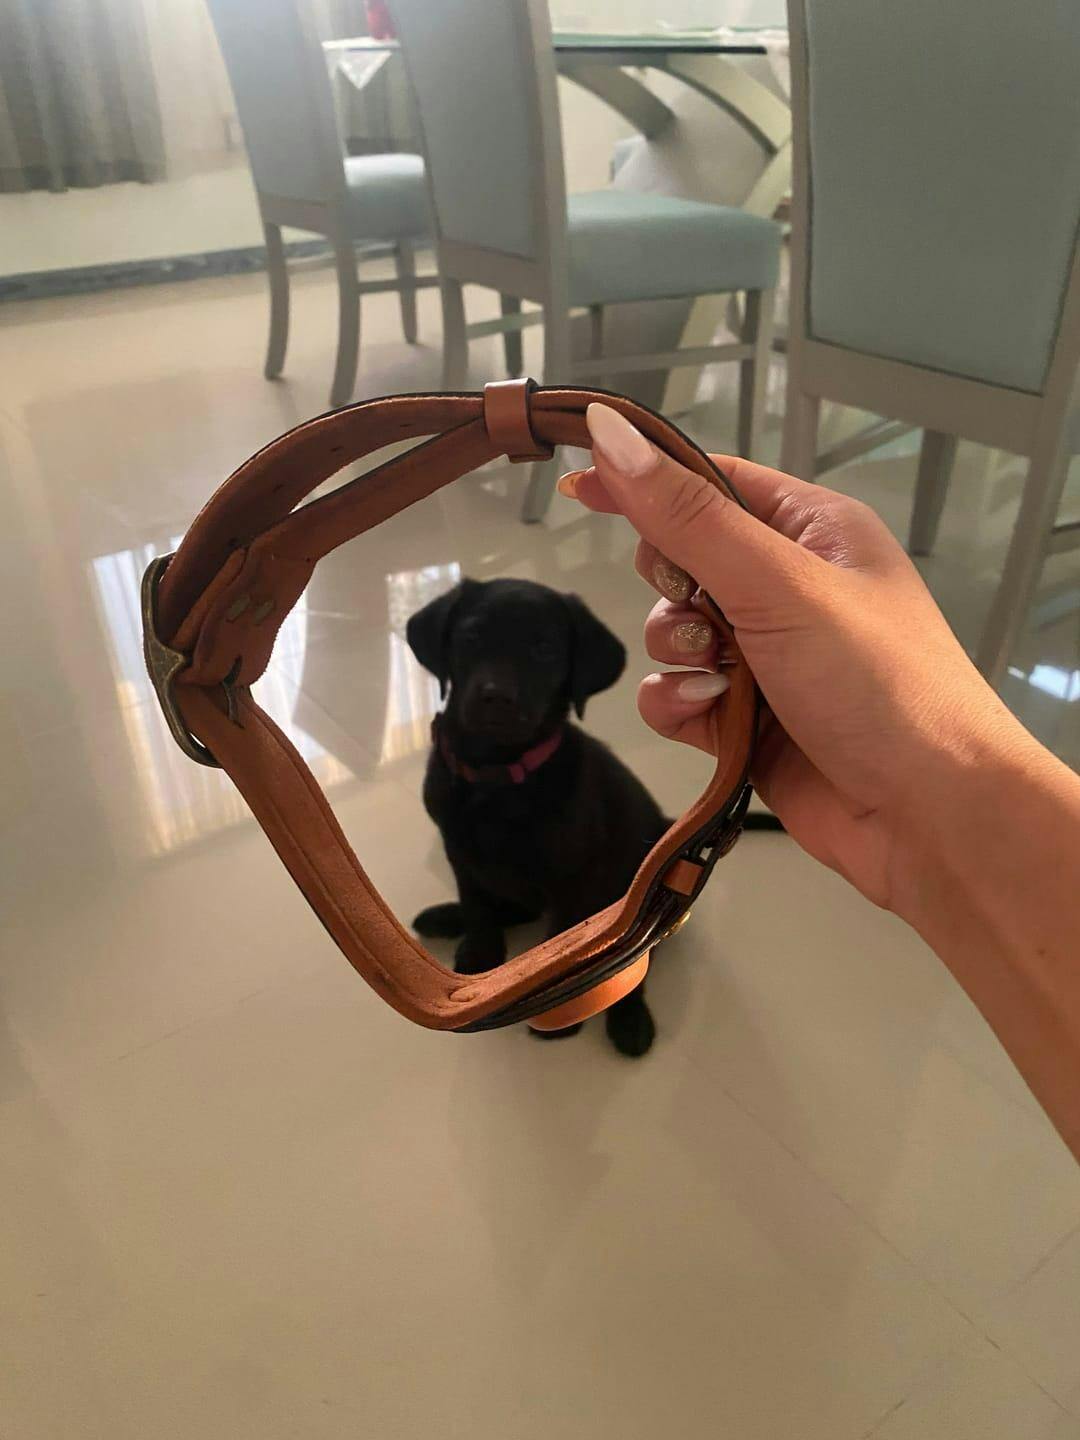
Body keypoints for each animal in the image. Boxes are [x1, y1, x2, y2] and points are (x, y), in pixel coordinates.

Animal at [407, 577, 669, 1057]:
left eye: (545, 648)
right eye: (470, 636)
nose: (495, 697)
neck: (496, 779)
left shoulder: (573, 877)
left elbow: (562, 943)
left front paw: (560, 1020)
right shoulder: (458, 850)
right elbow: (477, 905)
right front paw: (480, 956)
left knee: (634, 961)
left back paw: (630, 1022)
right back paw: (446, 919)